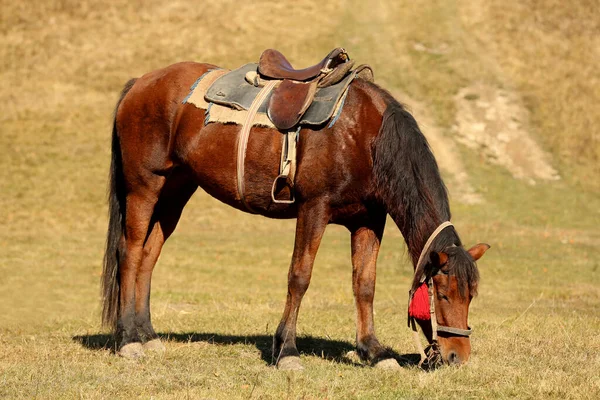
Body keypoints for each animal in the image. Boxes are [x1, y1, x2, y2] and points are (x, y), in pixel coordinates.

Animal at [101, 58, 490, 368]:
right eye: (442, 294)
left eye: (471, 295)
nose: (457, 356)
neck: (365, 136)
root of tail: (141, 82)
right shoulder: (313, 209)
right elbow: (299, 277)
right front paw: (286, 350)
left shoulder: (368, 220)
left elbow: (364, 284)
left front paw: (374, 351)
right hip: (145, 186)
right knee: (130, 253)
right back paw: (128, 340)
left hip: (175, 192)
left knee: (149, 256)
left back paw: (147, 334)